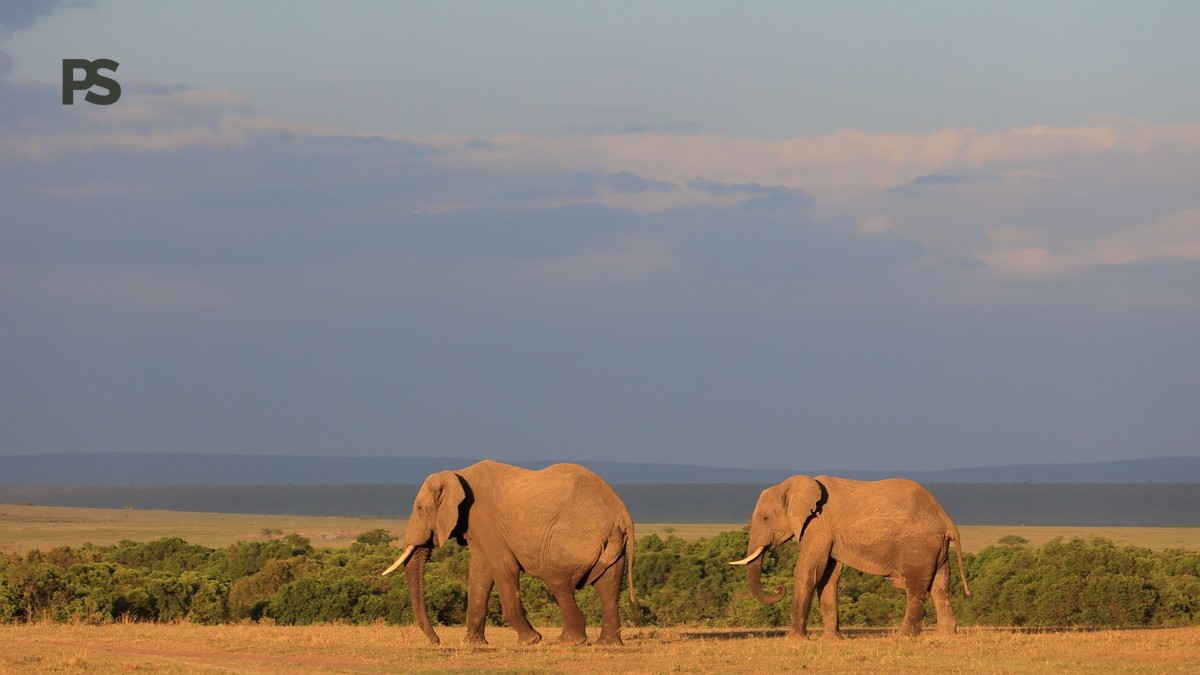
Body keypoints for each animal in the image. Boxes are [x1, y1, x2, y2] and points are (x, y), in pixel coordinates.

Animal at [382, 460, 642, 646]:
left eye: (419, 508)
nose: (437, 641)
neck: (456, 473)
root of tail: (622, 512)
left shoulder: (483, 517)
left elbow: (502, 567)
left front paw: (530, 641)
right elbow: (480, 573)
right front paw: (473, 645)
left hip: (575, 537)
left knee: (557, 581)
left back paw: (568, 642)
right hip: (610, 543)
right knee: (608, 585)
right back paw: (607, 643)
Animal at [729, 475, 970, 639]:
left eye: (765, 518)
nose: (779, 588)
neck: (794, 485)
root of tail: (947, 519)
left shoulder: (818, 525)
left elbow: (808, 571)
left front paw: (795, 640)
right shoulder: (829, 533)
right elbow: (828, 577)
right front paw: (832, 640)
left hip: (918, 544)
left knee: (916, 587)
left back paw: (903, 636)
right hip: (936, 547)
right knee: (940, 586)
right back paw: (944, 635)